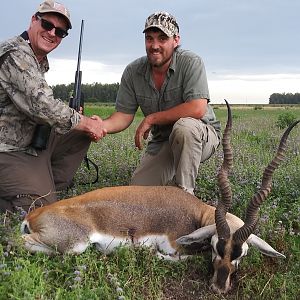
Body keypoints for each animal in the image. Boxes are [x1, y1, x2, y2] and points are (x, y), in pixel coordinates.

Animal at [21, 102, 300, 294]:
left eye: (241, 254)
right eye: (214, 247)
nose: (218, 287)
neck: (196, 213)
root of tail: (33, 214)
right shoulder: (174, 246)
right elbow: (181, 256)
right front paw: (154, 254)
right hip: (74, 244)